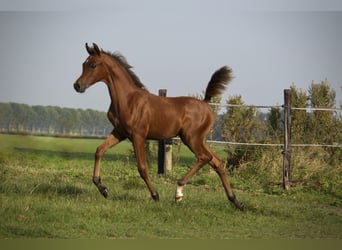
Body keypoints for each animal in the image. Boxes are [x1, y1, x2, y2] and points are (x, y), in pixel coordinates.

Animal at [73, 42, 244, 210]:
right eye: (83, 64)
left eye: (93, 65)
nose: (77, 86)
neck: (128, 100)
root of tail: (205, 104)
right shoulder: (119, 133)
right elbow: (99, 150)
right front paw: (103, 188)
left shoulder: (138, 136)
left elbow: (142, 167)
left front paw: (155, 195)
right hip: (199, 140)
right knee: (217, 162)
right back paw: (236, 201)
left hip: (191, 138)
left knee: (205, 157)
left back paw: (179, 192)